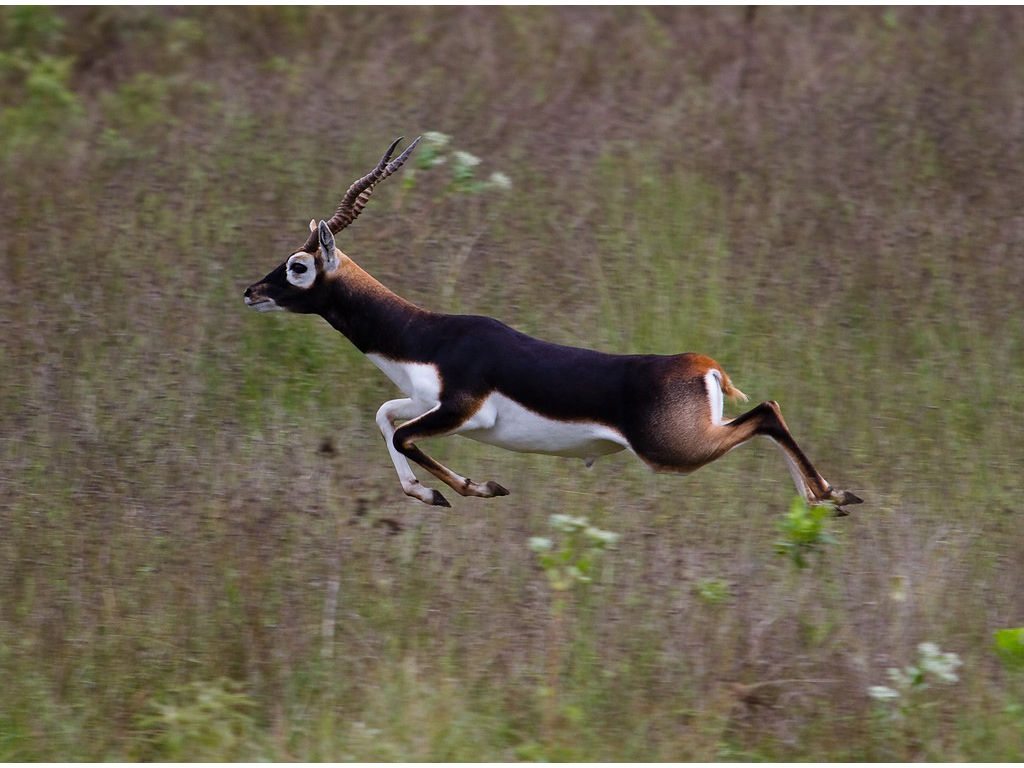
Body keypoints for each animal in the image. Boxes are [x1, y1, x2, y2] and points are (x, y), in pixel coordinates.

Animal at [244, 138, 863, 512]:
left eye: (297, 266)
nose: (251, 292)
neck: (424, 336)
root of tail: (703, 366)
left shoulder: (461, 411)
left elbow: (400, 434)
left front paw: (477, 487)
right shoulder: (426, 403)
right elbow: (384, 418)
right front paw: (429, 495)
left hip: (675, 451)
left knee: (767, 412)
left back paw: (831, 497)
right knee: (767, 412)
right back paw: (827, 497)